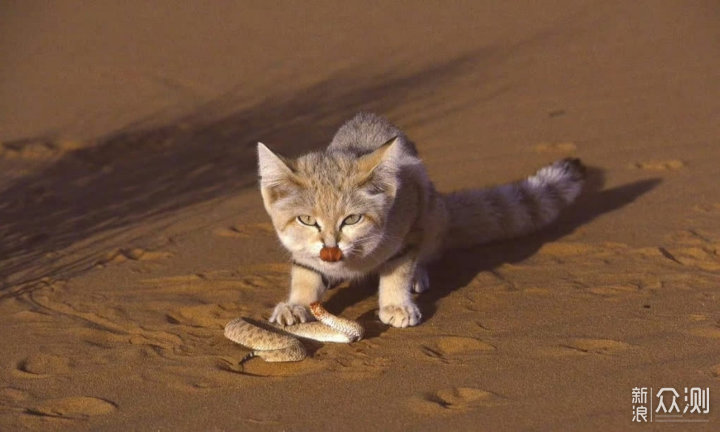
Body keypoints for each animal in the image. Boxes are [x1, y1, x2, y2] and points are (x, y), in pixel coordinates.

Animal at [256, 112, 584, 328]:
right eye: (306, 220)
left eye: (352, 219)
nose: (330, 252)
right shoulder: (302, 250)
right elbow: (305, 273)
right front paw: (296, 305)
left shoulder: (409, 226)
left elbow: (397, 269)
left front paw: (395, 304)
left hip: (433, 212)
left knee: (427, 254)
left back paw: (417, 276)